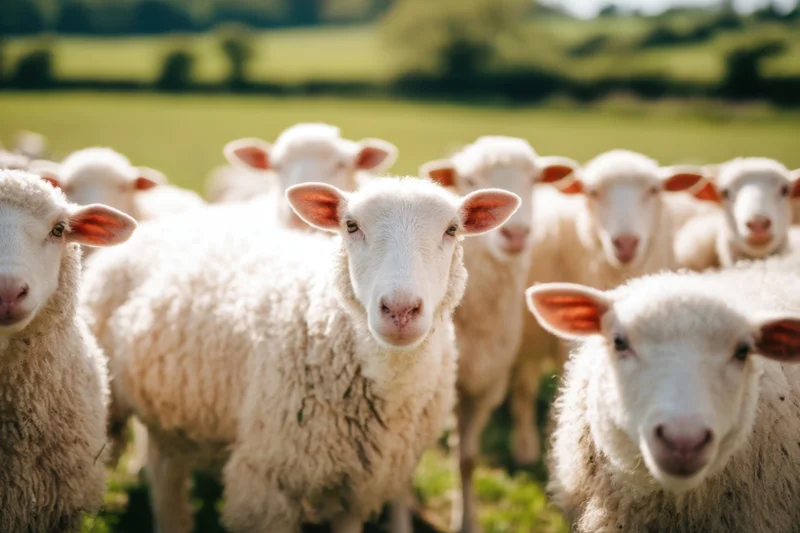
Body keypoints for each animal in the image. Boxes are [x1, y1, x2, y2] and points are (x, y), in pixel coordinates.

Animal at [79, 176, 521, 533]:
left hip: (174, 413)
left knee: (166, 470)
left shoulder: (356, 490)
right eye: (351, 226)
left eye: (452, 229)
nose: (400, 310)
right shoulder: (267, 484)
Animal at [420, 136, 579, 533]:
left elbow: (468, 459)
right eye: (469, 179)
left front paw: (468, 520)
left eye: (535, 180)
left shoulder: (488, 382)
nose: (516, 234)